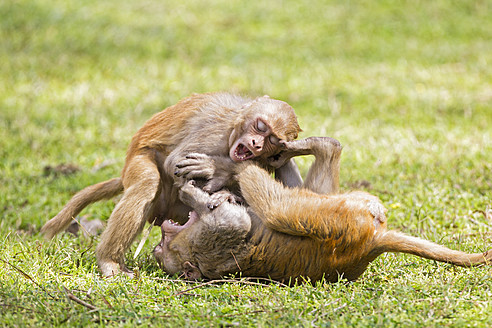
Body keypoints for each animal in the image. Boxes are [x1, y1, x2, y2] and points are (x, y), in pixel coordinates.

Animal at [42, 92, 302, 276]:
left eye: (272, 140)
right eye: (260, 126)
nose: (256, 144)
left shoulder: (267, 159)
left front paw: (224, 190)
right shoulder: (215, 132)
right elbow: (174, 161)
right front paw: (216, 170)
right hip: (140, 169)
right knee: (147, 182)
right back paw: (109, 261)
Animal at [152, 137, 490, 284]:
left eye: (163, 244)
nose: (159, 240)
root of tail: (373, 242)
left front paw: (207, 192)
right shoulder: (208, 245)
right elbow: (233, 223)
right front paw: (194, 193)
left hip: (333, 210)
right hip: (333, 219)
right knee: (279, 210)